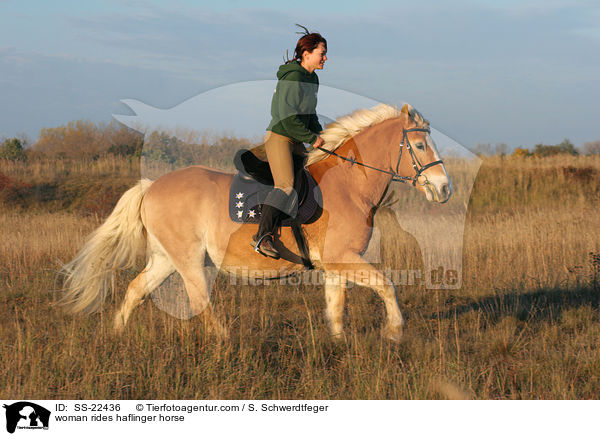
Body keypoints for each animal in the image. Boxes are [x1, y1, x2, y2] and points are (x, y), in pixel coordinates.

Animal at [57, 104, 450, 342]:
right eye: (419, 145)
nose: (444, 188)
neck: (348, 184)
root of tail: (151, 186)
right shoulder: (344, 259)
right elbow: (387, 286)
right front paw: (394, 332)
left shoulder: (336, 265)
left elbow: (336, 306)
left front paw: (338, 345)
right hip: (188, 260)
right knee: (199, 300)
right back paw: (223, 341)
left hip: (166, 258)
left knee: (136, 290)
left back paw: (116, 335)